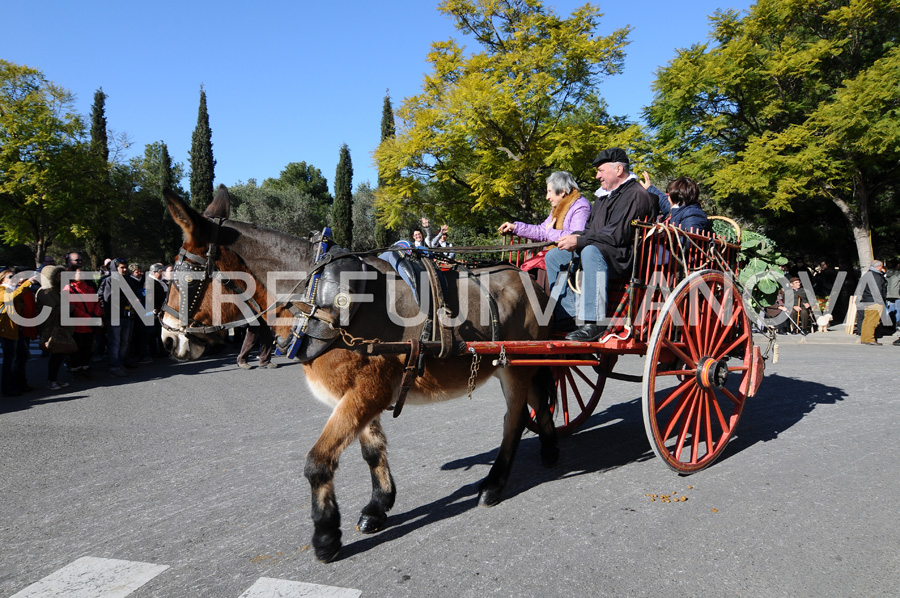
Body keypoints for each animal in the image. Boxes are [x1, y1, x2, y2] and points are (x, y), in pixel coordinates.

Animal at [158, 190, 560, 564]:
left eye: (183, 279)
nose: (167, 338)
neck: (318, 297)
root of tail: (527, 279)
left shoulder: (367, 392)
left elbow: (318, 463)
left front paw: (325, 536)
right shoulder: (359, 394)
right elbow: (372, 450)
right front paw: (379, 505)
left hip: (514, 367)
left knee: (514, 419)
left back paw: (495, 483)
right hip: (524, 363)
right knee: (539, 402)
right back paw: (549, 446)